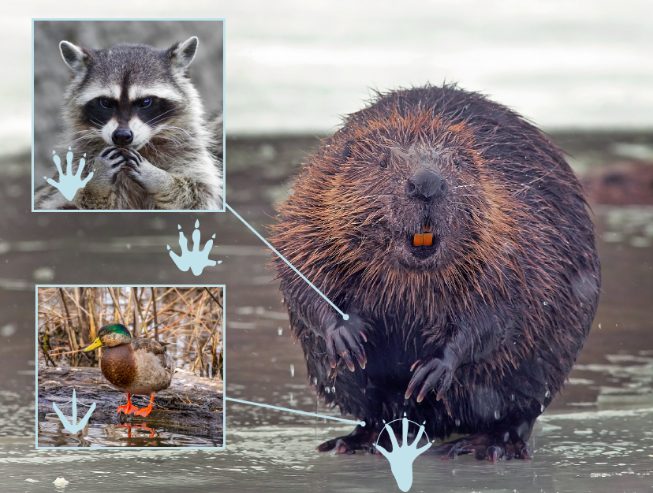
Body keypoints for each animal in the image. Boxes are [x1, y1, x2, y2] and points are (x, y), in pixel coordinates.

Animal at [35, 36, 223, 210]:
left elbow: (198, 194)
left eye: (145, 102)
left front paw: (160, 179)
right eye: (105, 102)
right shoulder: (75, 163)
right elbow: (69, 203)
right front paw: (96, 184)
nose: (122, 136)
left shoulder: (189, 152)